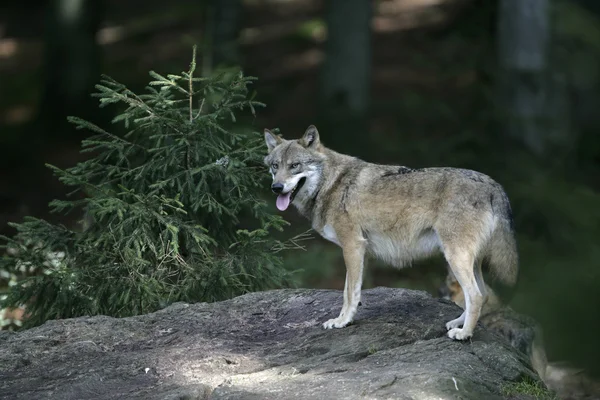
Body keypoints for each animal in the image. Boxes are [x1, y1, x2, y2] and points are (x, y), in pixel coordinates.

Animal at [264, 125, 516, 340]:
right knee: (482, 294)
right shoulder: (358, 251)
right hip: (468, 261)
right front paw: (343, 319)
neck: (331, 184)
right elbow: (349, 290)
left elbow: (349, 293)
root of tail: (493, 185)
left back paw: (464, 334)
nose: (276, 188)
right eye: (275, 166)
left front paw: (342, 322)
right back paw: (458, 323)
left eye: (295, 165)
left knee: (475, 295)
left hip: (455, 257)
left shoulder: (353, 247)